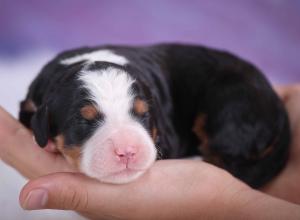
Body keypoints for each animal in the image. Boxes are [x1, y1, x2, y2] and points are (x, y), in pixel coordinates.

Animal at [19, 43, 290, 188]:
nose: (127, 151)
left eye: (144, 114)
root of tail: (277, 105)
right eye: (83, 120)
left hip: (231, 106)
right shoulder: (32, 98)